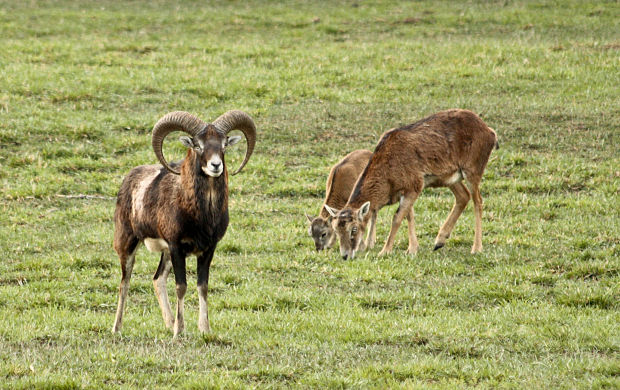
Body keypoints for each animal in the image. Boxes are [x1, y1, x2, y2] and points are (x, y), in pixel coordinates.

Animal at [326, 109, 496, 258]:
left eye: (354, 229)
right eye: (336, 229)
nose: (345, 255)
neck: (388, 181)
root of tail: (490, 132)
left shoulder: (415, 184)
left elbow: (397, 218)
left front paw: (385, 251)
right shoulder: (408, 189)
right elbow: (409, 215)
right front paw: (412, 249)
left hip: (473, 168)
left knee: (478, 201)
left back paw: (476, 248)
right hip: (449, 177)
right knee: (463, 196)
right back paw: (439, 241)